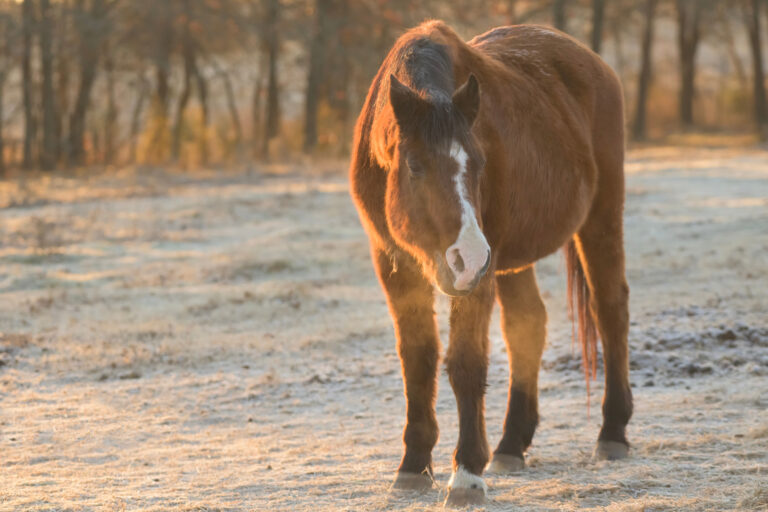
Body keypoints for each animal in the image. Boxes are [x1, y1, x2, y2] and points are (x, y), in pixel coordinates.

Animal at [349, 20, 632, 506]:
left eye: (480, 163)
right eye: (414, 166)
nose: (468, 255)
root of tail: (594, 63)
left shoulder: (480, 271)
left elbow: (466, 363)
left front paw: (466, 475)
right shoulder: (393, 264)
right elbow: (418, 359)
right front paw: (412, 465)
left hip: (598, 218)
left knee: (610, 309)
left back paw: (612, 433)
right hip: (508, 261)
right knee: (528, 326)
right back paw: (511, 444)